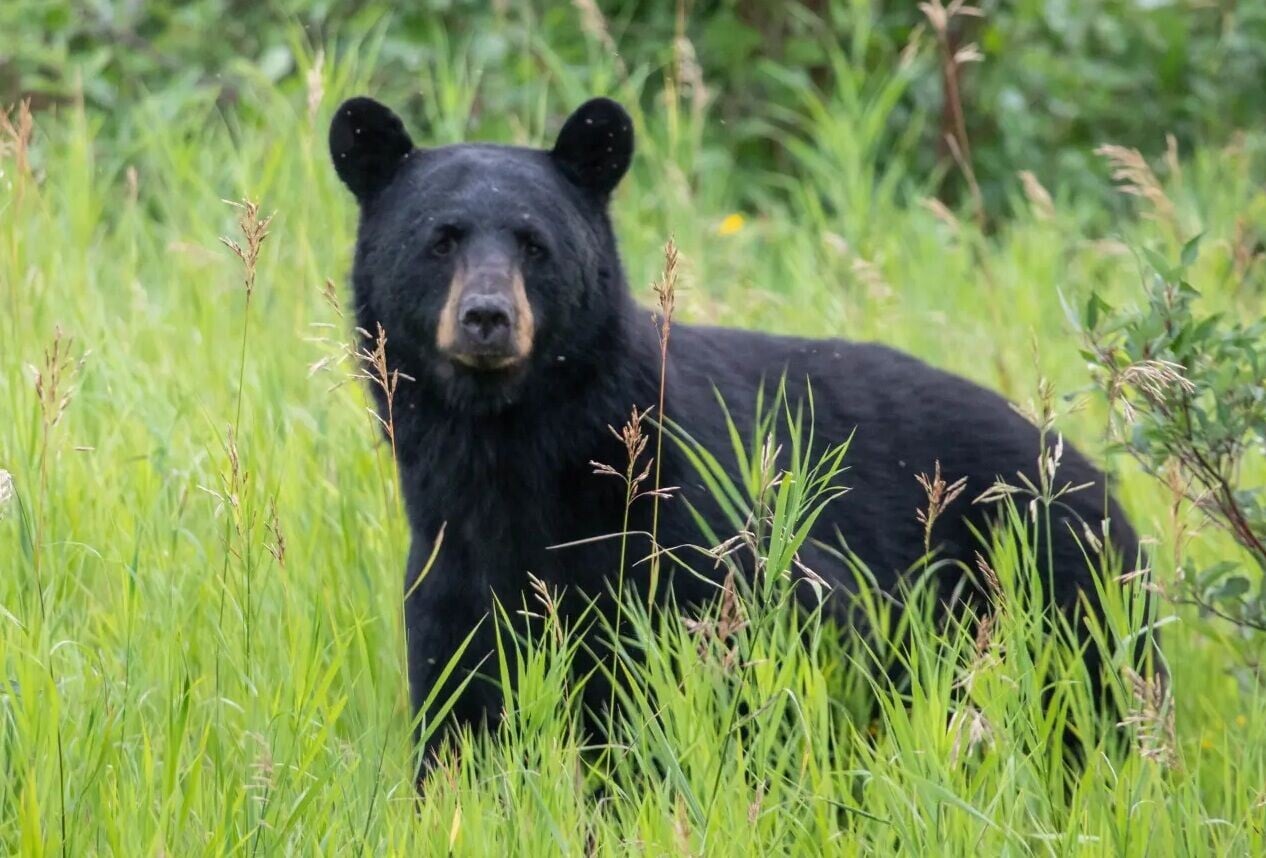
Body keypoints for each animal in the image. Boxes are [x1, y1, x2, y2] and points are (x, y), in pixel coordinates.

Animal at [329, 95, 1142, 782]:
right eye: (440, 241)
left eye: (535, 244)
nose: (487, 317)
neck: (516, 448)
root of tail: (1086, 472)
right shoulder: (453, 566)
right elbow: (458, 710)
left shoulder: (690, 535)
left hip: (1055, 589)